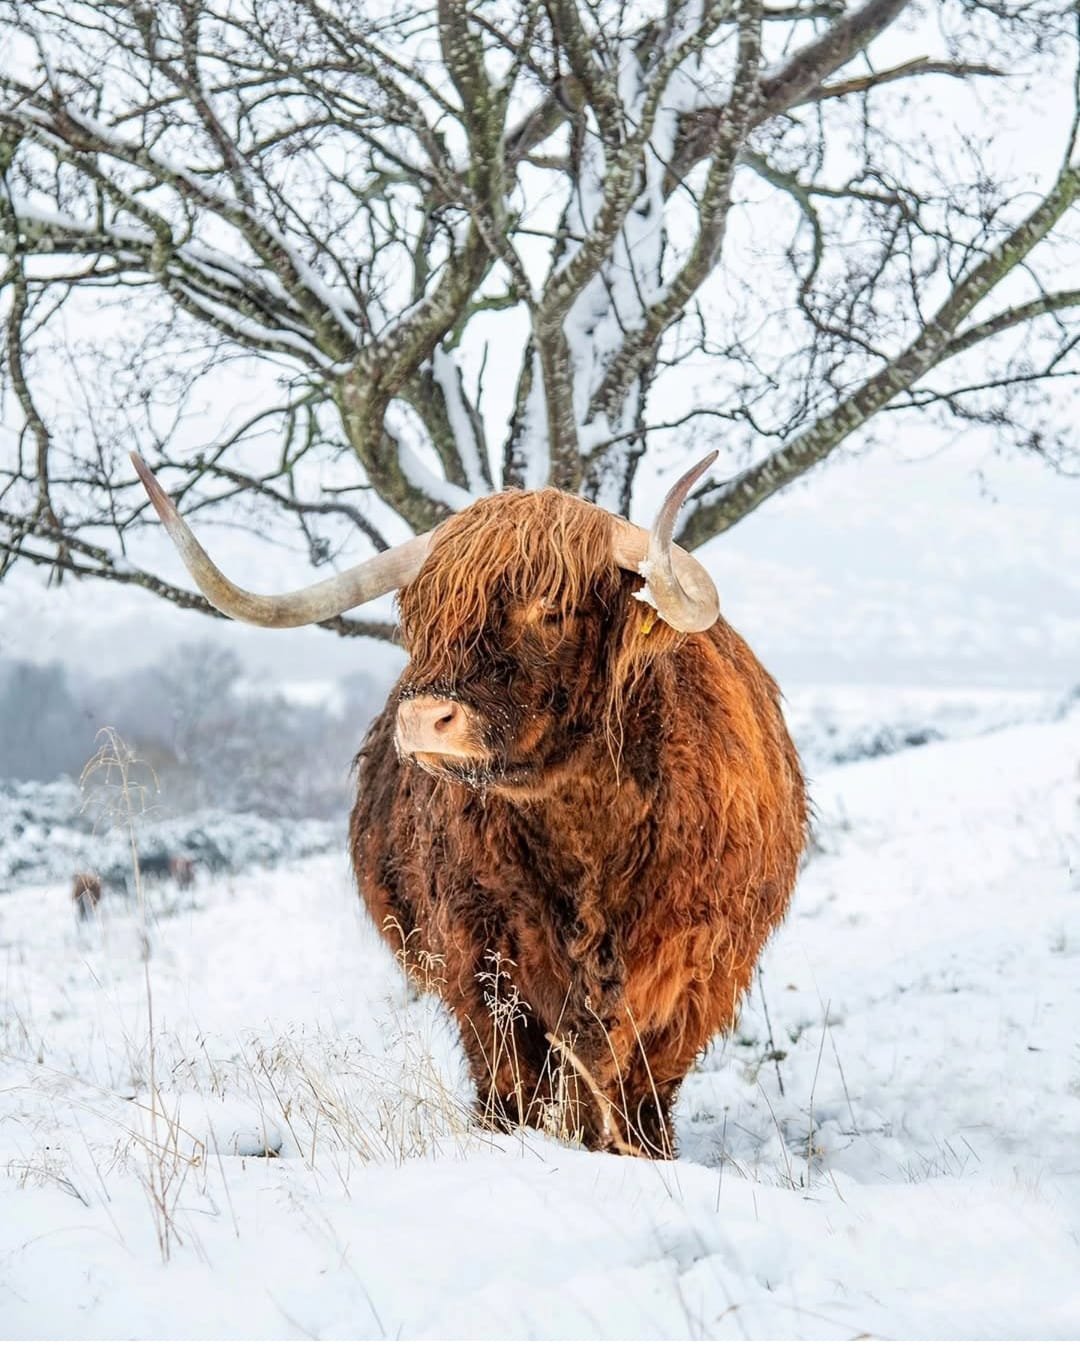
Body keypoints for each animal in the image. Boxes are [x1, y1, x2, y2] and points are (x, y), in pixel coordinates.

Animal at [135, 451, 806, 1156]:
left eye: (550, 608)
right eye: (422, 610)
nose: (425, 718)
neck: (587, 827)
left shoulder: (698, 967)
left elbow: (640, 1082)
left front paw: (643, 1154)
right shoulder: (481, 955)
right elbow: (515, 1072)